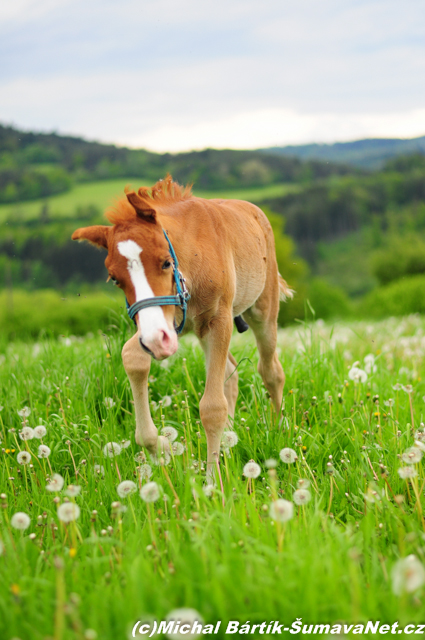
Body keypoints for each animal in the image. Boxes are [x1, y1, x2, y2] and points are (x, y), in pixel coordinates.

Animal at [73, 175, 292, 476]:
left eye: (166, 262)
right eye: (115, 279)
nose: (156, 342)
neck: (193, 261)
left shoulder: (218, 320)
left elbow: (212, 407)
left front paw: (213, 480)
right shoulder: (161, 325)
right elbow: (132, 357)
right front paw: (161, 447)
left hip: (262, 310)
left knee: (271, 371)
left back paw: (277, 429)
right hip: (200, 332)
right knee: (231, 373)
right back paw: (229, 439)